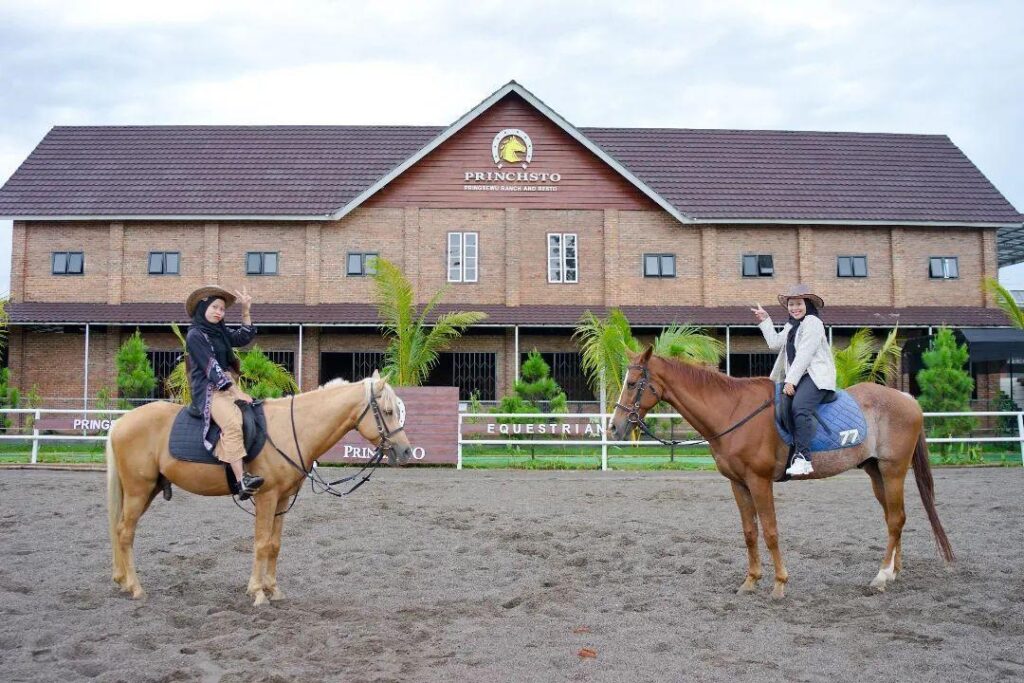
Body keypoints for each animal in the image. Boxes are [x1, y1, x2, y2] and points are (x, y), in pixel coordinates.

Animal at [102, 374, 407, 610]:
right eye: (388, 412)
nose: (405, 451)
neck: (291, 429)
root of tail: (120, 423)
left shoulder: (282, 499)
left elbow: (274, 545)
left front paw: (272, 589)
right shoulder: (266, 497)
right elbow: (261, 543)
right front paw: (258, 592)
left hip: (147, 490)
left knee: (119, 530)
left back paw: (123, 581)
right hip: (138, 491)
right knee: (125, 533)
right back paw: (136, 587)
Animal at [606, 348, 950, 598]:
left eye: (633, 383)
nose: (614, 427)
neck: (733, 411)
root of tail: (906, 398)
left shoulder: (759, 482)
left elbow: (770, 531)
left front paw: (780, 583)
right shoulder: (738, 484)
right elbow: (750, 532)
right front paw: (750, 581)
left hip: (893, 471)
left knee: (895, 519)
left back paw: (881, 576)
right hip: (876, 472)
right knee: (895, 517)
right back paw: (893, 572)